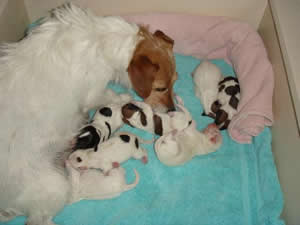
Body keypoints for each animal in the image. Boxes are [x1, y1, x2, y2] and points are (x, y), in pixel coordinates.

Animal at [0, 3, 177, 225]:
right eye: (161, 88)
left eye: (175, 81)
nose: (172, 110)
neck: (100, 42)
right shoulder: (95, 93)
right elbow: (111, 95)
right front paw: (122, 98)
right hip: (54, 185)